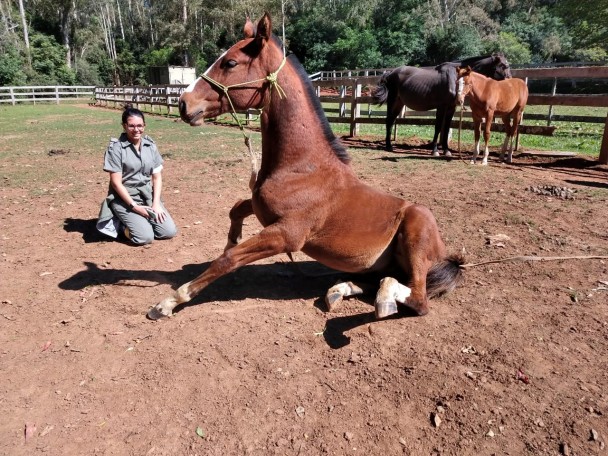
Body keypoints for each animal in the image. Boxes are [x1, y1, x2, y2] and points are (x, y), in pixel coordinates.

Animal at [146, 13, 460, 320]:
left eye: (231, 62)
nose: (184, 104)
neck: (302, 169)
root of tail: (444, 253)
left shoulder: (287, 235)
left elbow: (226, 260)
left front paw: (168, 303)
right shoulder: (262, 210)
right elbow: (236, 209)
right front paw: (232, 238)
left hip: (417, 229)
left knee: (417, 298)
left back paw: (384, 297)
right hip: (379, 263)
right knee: (381, 280)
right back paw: (341, 290)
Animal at [370, 53, 512, 155]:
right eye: (503, 66)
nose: (510, 81)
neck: (455, 78)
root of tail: (390, 73)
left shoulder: (451, 108)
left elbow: (447, 127)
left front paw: (446, 150)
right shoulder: (441, 107)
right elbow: (438, 127)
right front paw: (435, 150)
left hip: (399, 103)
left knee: (391, 120)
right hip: (392, 101)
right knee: (388, 121)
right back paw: (388, 146)